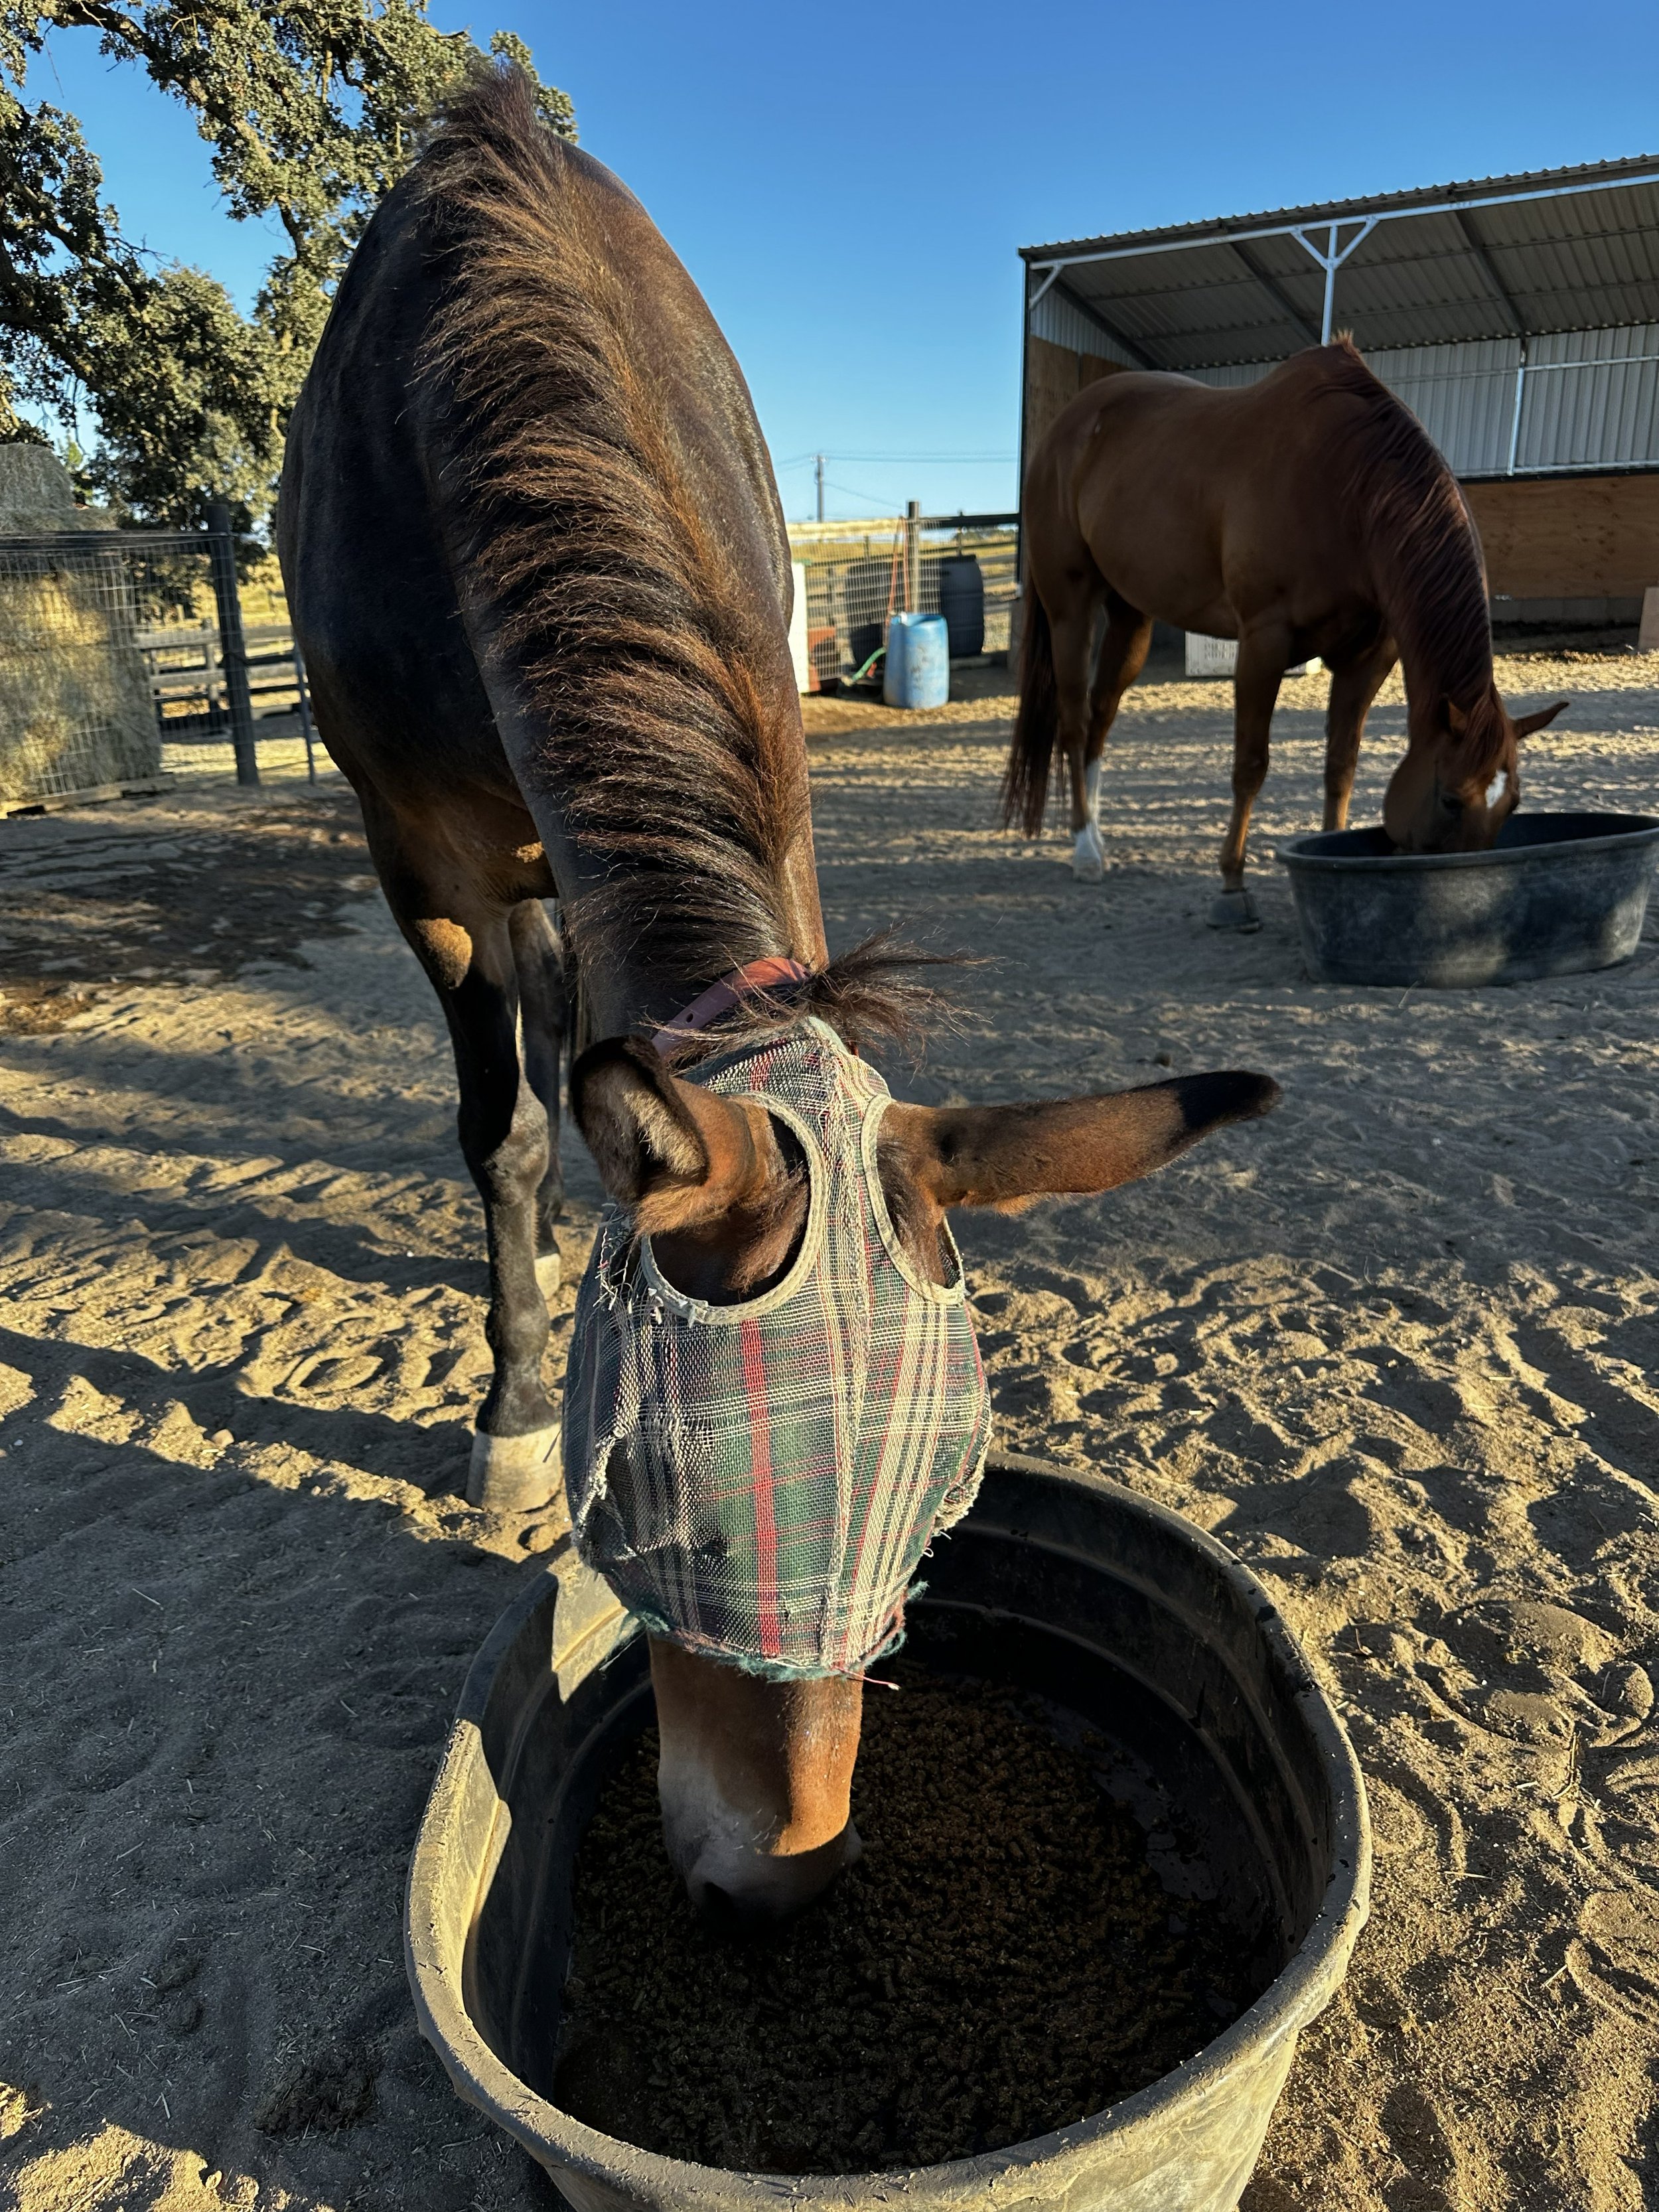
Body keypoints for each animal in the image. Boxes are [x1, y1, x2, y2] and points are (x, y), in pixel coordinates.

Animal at [278, 68, 1281, 1922]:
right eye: (655, 1515)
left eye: (940, 1517)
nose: (778, 1889)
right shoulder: (418, 858)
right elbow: (504, 1128)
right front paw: (513, 1417)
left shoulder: (772, 776)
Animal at [1004, 340, 1568, 927]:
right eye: (1452, 799)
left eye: (1513, 803)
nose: (1468, 892)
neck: (1348, 488)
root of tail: (1066, 428)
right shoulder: (1263, 643)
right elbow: (1250, 765)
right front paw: (1231, 886)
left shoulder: (1368, 658)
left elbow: (1341, 764)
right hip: (1071, 607)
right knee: (1073, 722)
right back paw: (1084, 850)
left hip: (1131, 615)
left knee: (1100, 717)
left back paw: (1096, 834)